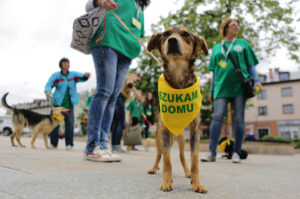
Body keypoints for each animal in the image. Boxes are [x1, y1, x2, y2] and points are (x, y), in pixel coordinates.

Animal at [146, 26, 207, 193]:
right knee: (159, 154)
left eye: (186, 34)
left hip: (181, 139)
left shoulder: (195, 132)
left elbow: (194, 161)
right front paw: (167, 182)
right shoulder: (165, 133)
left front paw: (196, 183)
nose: (172, 40)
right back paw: (154, 168)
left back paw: (187, 173)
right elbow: (167, 161)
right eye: (166, 34)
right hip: (158, 137)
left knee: (182, 156)